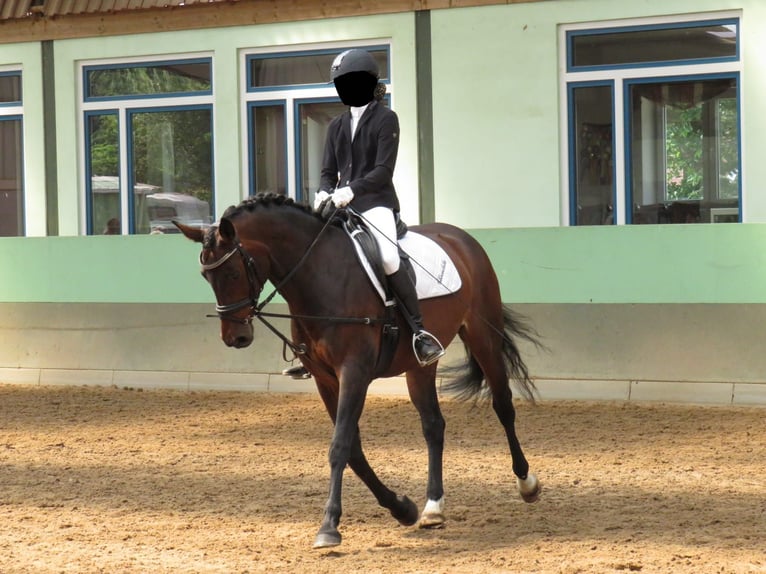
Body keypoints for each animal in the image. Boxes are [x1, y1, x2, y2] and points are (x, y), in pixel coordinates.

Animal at [177, 192, 544, 548]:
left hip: (483, 336)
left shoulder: (354, 372)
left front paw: (328, 527)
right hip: (419, 366)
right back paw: (432, 507)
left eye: (233, 273)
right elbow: (352, 449)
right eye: (205, 276)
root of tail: (459, 236)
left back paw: (526, 483)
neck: (319, 276)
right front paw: (402, 508)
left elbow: (339, 445)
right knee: (433, 424)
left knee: (502, 405)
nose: (235, 337)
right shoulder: (325, 380)